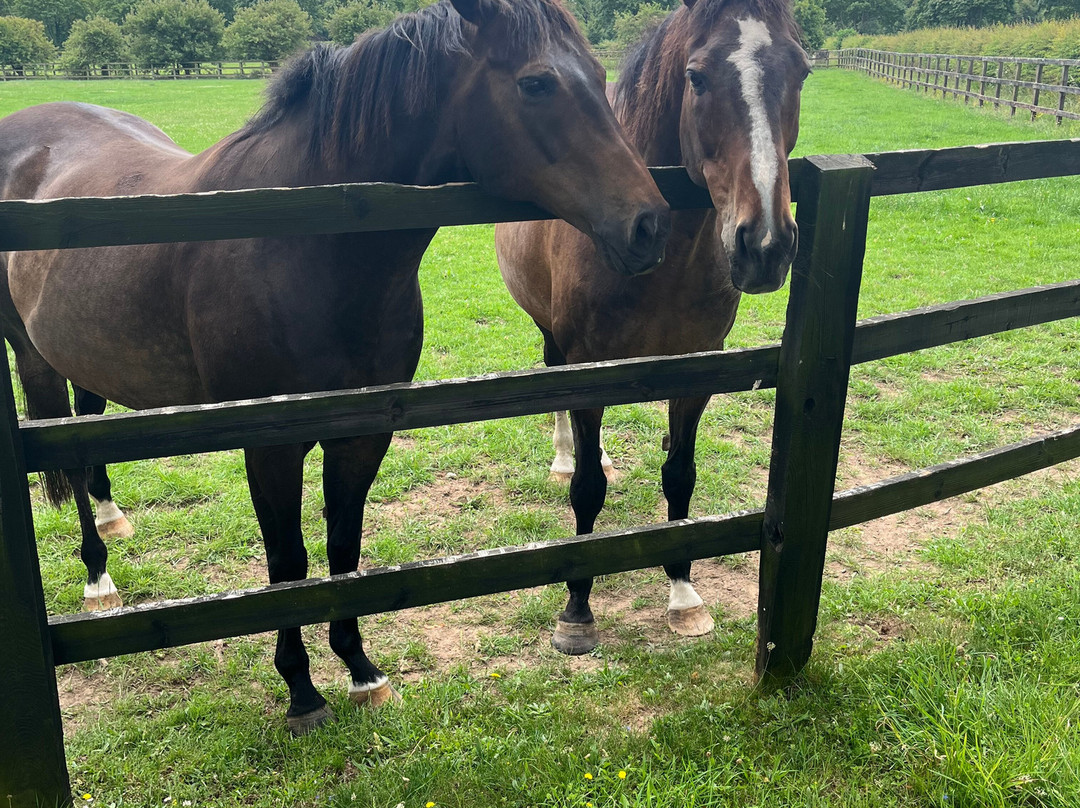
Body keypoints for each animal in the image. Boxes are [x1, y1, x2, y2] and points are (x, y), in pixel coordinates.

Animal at [0, 0, 670, 734]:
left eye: (600, 75)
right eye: (535, 84)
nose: (649, 225)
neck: (304, 241)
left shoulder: (362, 433)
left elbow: (344, 549)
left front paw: (360, 670)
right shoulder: (270, 444)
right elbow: (288, 564)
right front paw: (301, 691)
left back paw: (113, 524)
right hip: (31, 355)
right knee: (62, 455)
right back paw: (98, 578)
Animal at [495, 0, 808, 654]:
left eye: (801, 71)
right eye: (697, 77)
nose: (766, 245)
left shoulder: (696, 371)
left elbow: (680, 476)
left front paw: (684, 596)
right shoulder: (589, 365)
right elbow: (587, 488)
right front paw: (577, 610)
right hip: (555, 340)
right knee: (554, 389)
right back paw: (562, 457)